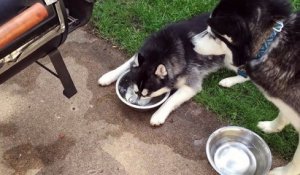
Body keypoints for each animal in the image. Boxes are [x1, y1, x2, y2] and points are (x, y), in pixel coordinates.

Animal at [98, 13, 227, 126]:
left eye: (147, 94)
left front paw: (158, 115)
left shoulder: (191, 84)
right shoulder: (142, 55)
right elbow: (126, 64)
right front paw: (108, 76)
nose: (135, 103)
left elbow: (171, 100)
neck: (162, 52)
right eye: (135, 91)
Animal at [193, 0, 298, 174]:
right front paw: (272, 127)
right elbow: (283, 114)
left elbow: (296, 160)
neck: (270, 44)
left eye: (213, 34)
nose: (191, 42)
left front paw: (282, 172)